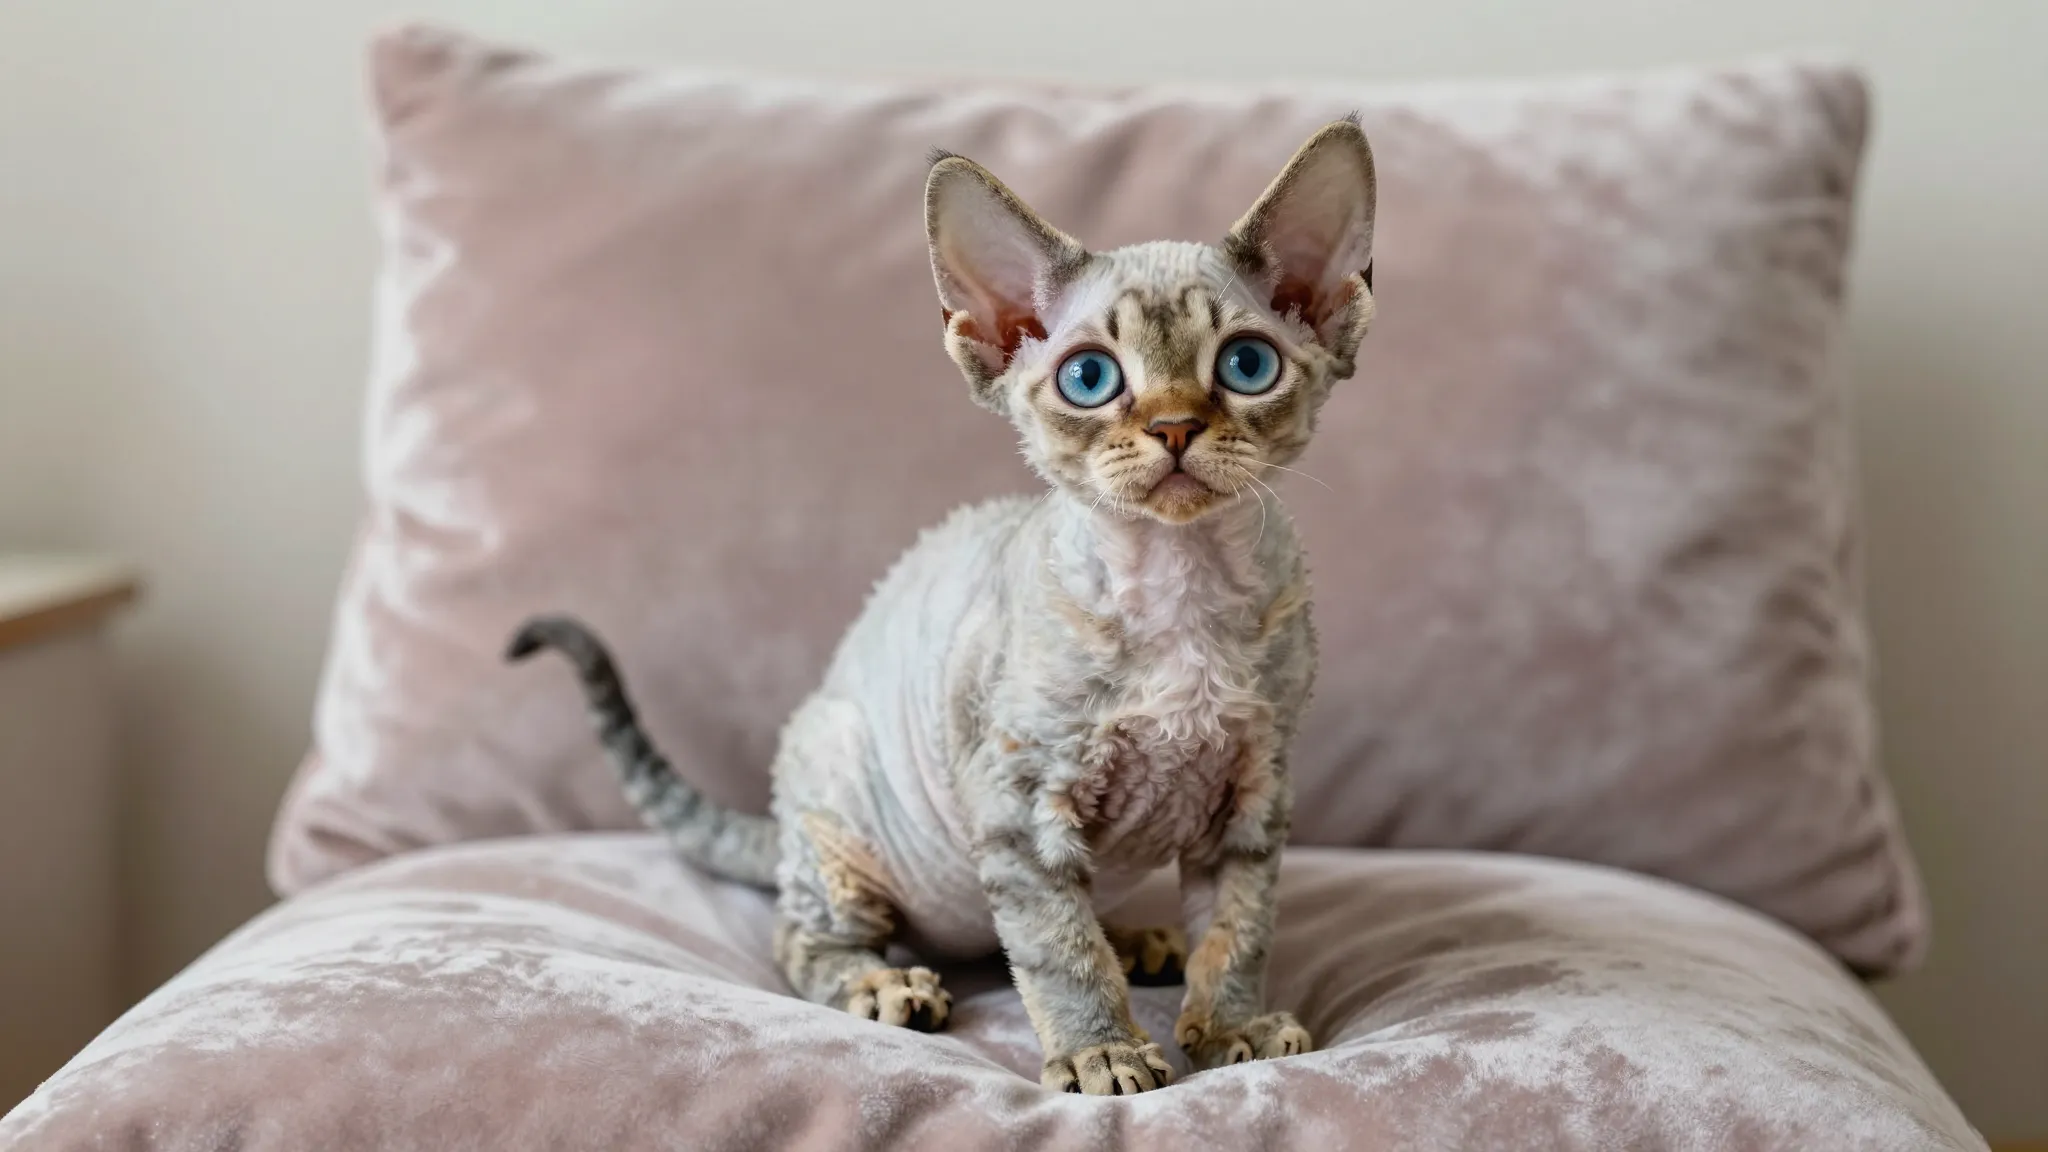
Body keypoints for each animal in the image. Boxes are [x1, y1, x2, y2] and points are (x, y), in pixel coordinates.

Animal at [508, 117, 1375, 1096]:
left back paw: (1139, 940)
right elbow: (1057, 948)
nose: (1174, 428)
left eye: (1246, 364)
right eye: (1089, 379)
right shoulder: (1018, 805)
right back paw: (885, 985)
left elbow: (1237, 930)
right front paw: (1102, 1052)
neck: (1178, 581)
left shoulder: (1253, 795)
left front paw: (1231, 1030)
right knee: (804, 937)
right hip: (837, 795)